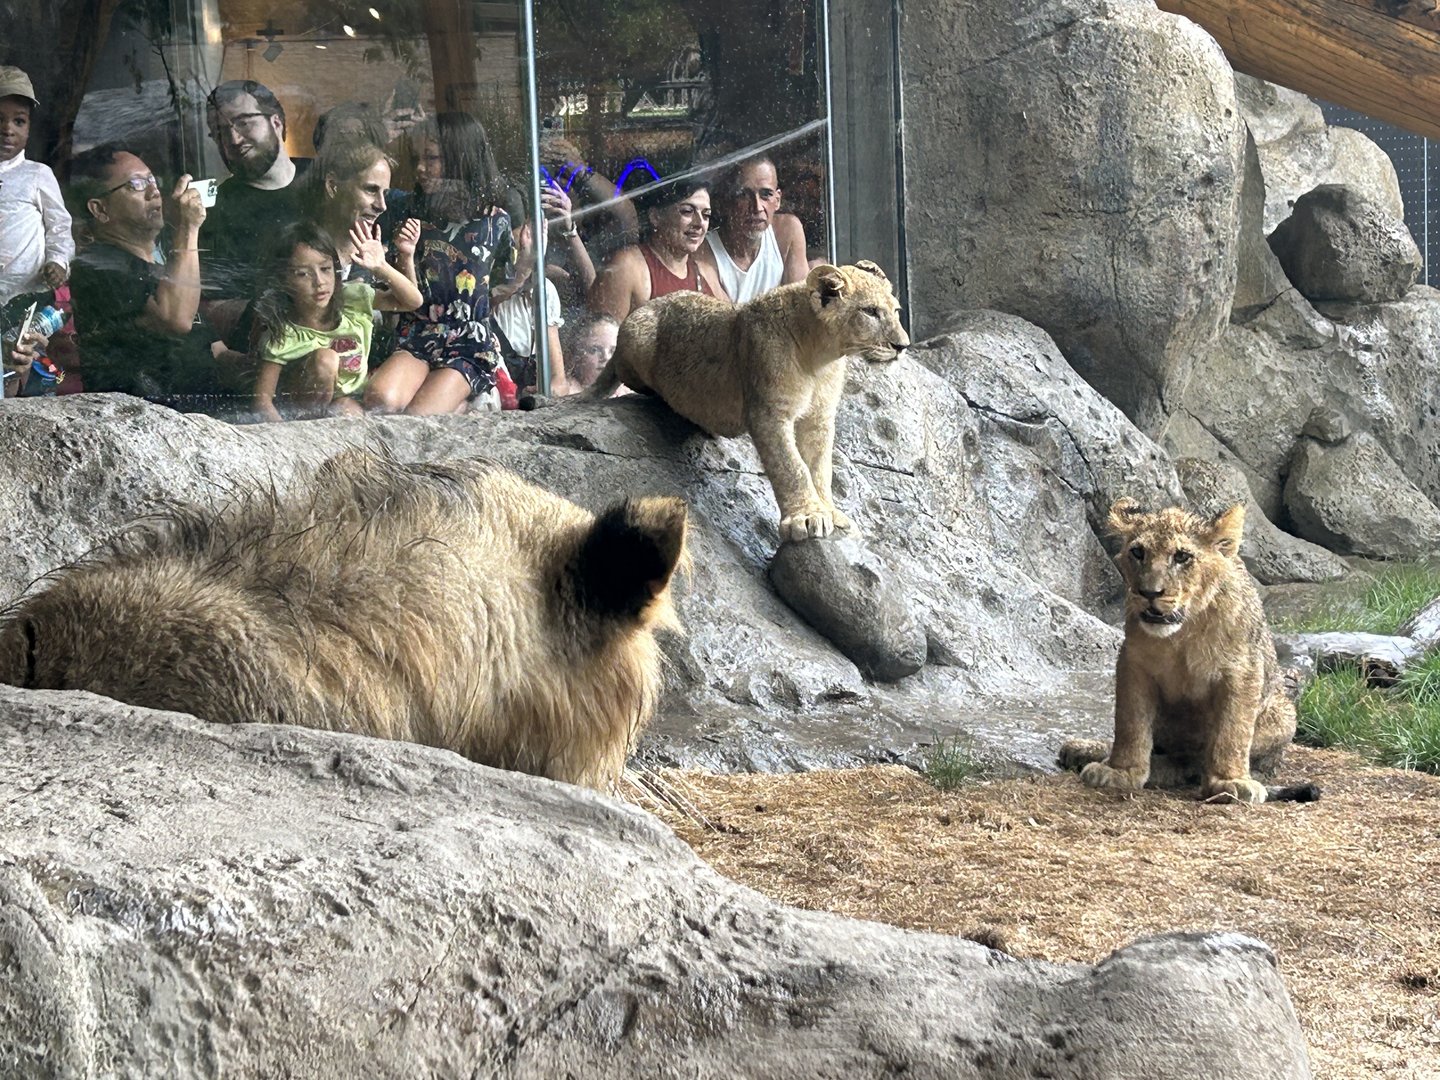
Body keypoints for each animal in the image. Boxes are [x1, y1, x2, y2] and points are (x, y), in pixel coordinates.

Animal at [584, 260, 909, 542]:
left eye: (896, 310)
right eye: (870, 311)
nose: (902, 346)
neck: (822, 356)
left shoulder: (819, 418)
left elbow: (820, 468)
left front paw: (829, 511)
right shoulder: (769, 413)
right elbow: (791, 466)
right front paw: (806, 517)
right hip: (639, 338)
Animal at [1058, 498, 1318, 804]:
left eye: (1182, 556)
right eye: (1138, 552)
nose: (1149, 592)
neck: (1182, 634)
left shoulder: (1242, 670)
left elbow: (1233, 729)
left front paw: (1231, 780)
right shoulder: (1134, 663)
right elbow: (1130, 723)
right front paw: (1121, 771)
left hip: (1283, 713)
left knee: (1192, 764)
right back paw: (1086, 750)